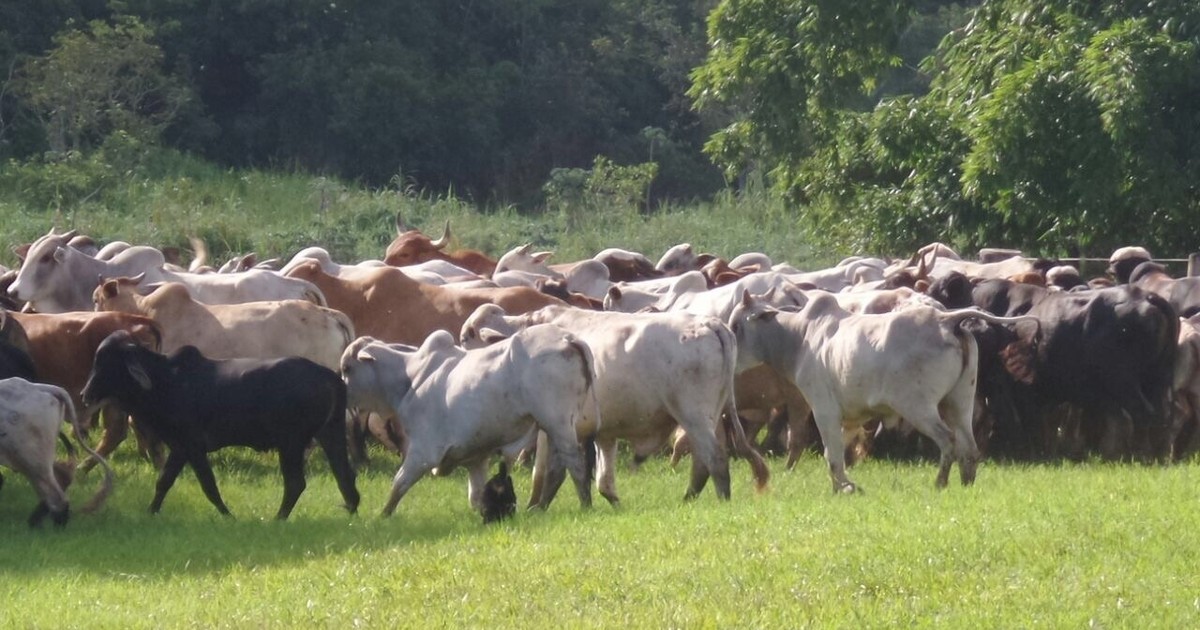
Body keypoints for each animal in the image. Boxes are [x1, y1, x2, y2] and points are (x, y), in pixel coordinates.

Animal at [82, 331, 357, 518]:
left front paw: (228, 515)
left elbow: (208, 485)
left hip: (291, 443)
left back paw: (278, 518)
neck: (165, 380)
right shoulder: (179, 448)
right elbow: (163, 482)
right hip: (329, 434)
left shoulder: (193, 446)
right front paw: (151, 511)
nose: (85, 394)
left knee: (296, 484)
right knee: (345, 476)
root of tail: (329, 376)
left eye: (106, 362)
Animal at [340, 328, 592, 516]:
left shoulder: (424, 452)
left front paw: (382, 516)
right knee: (558, 468)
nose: (341, 392)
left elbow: (398, 484)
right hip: (557, 427)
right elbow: (476, 496)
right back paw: (542, 507)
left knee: (576, 464)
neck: (410, 378)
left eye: (347, 368)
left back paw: (585, 505)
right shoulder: (476, 458)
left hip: (558, 423)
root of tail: (567, 339)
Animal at [458, 302, 768, 504]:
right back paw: (689, 499)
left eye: (466, 337)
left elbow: (546, 472)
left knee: (715, 458)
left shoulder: (553, 426)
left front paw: (537, 506)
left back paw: (718, 500)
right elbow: (602, 479)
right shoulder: (598, 432)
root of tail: (709, 323)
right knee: (703, 461)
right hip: (711, 417)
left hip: (694, 416)